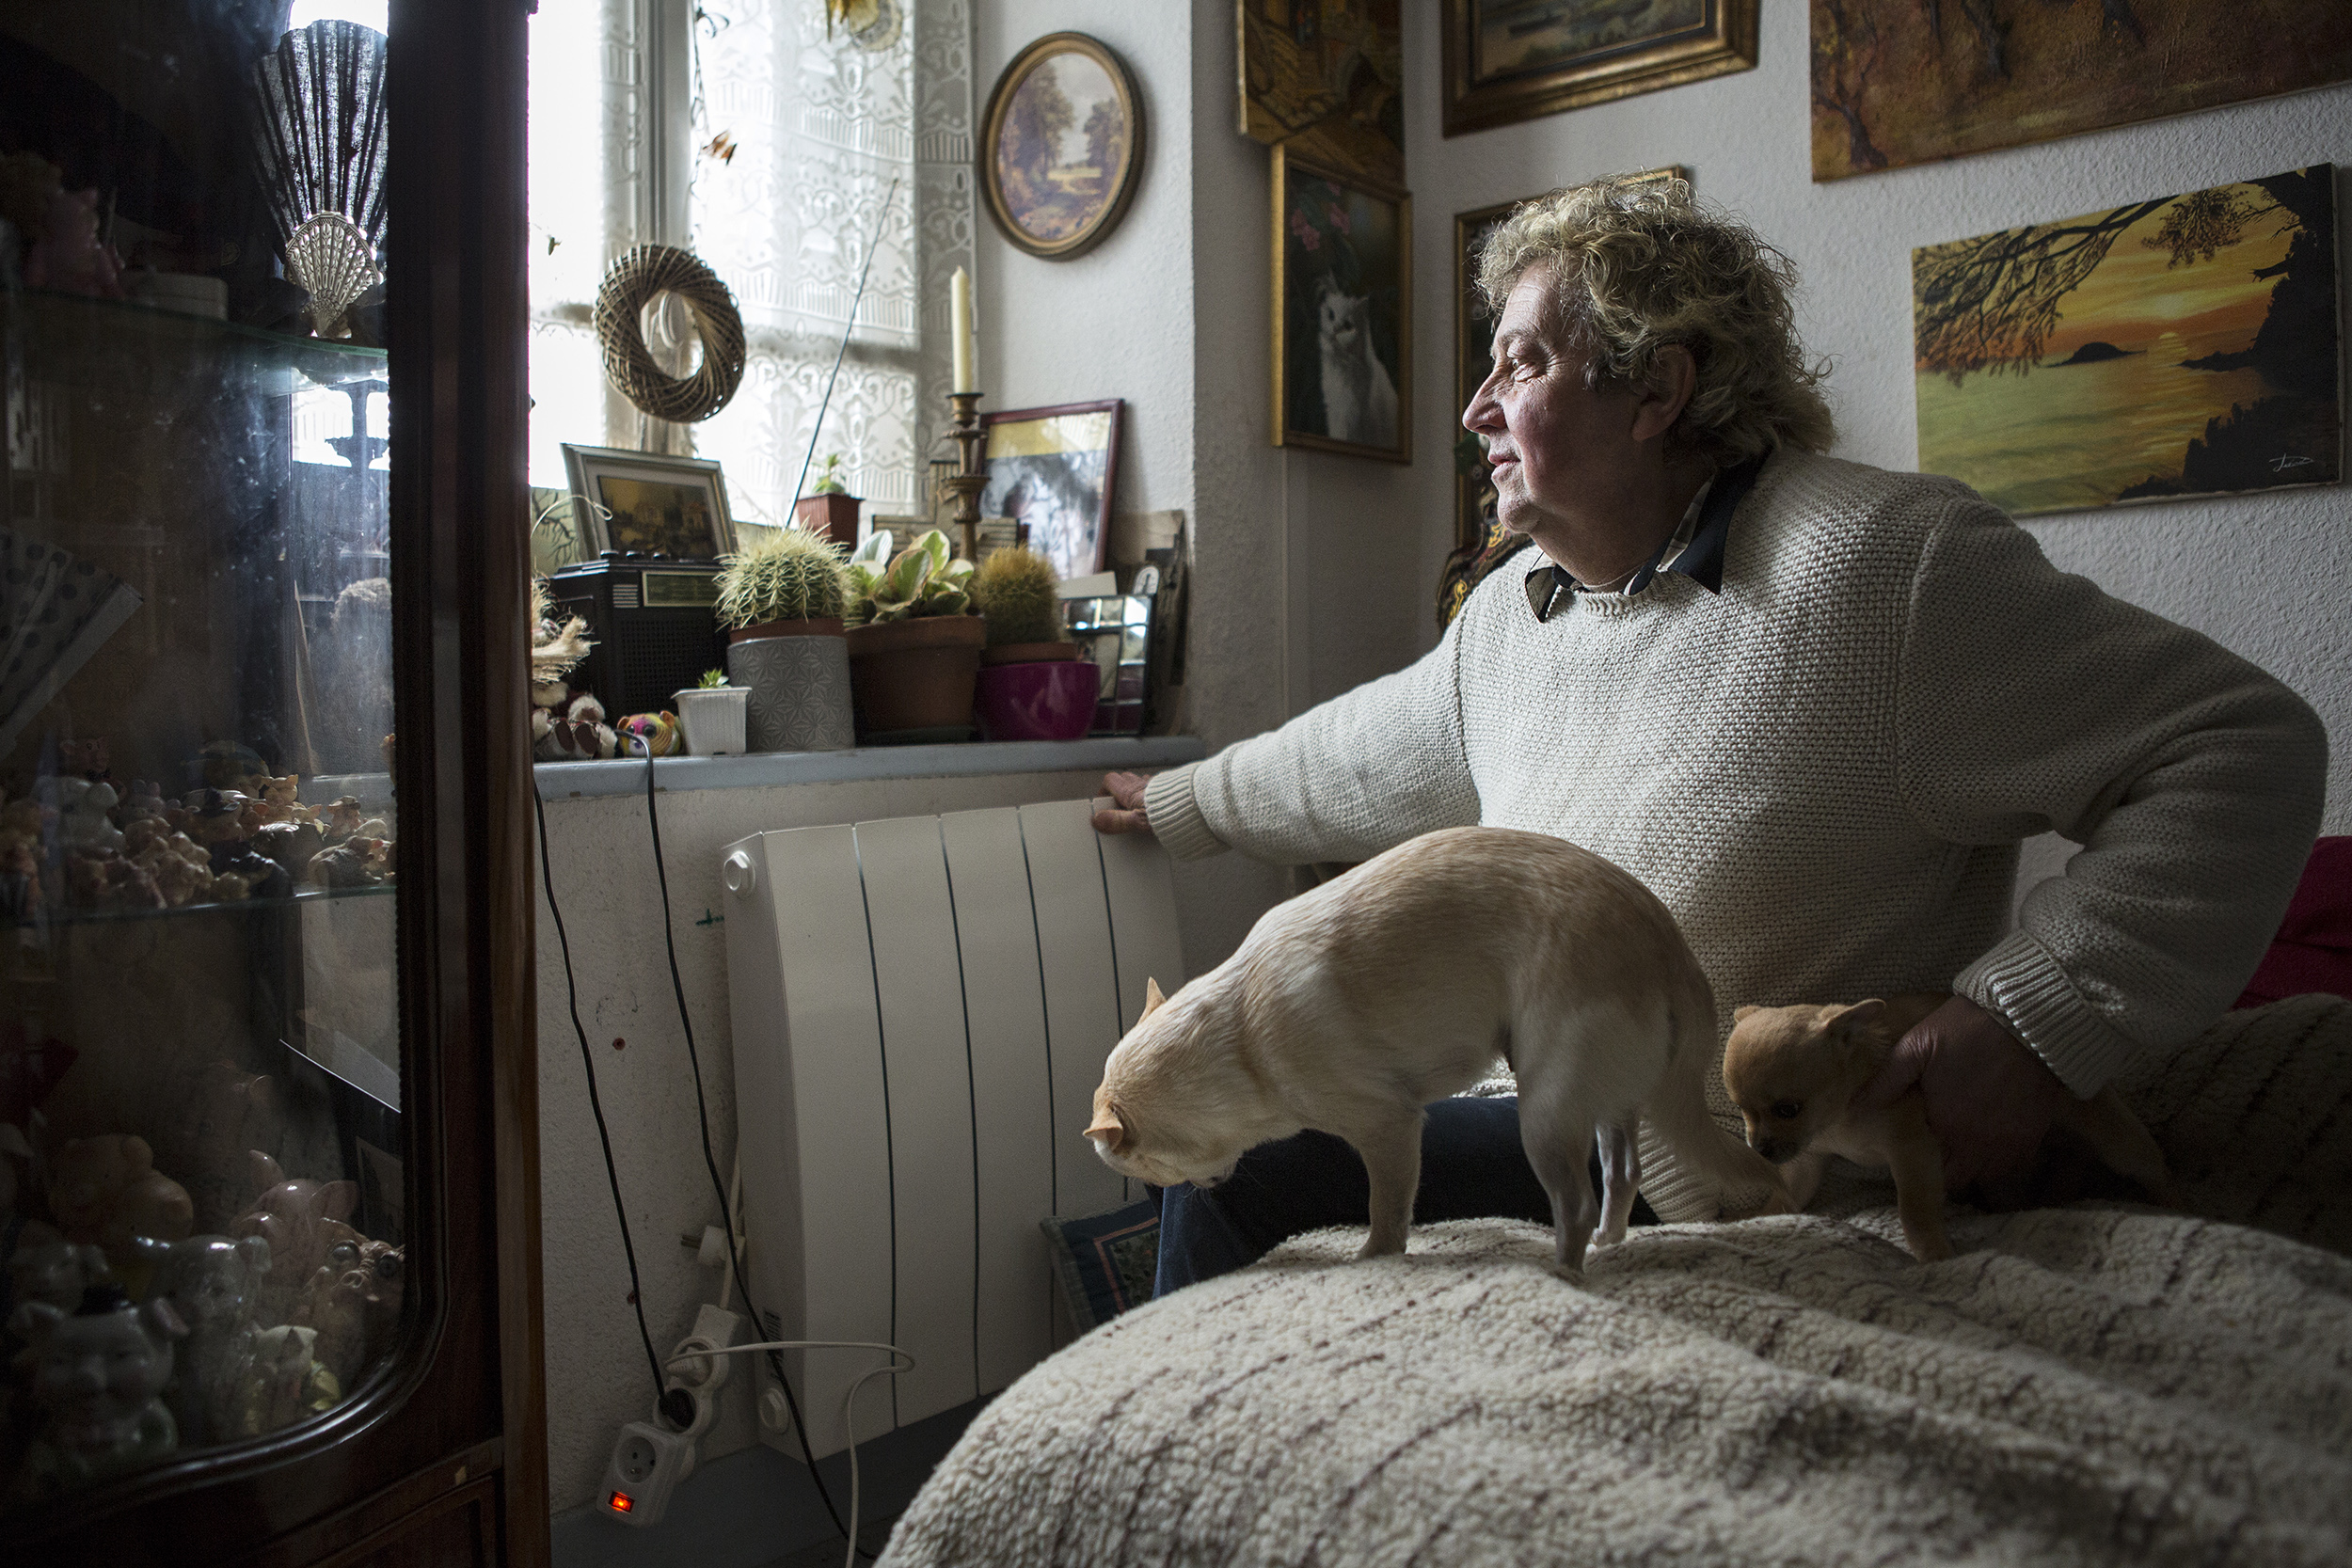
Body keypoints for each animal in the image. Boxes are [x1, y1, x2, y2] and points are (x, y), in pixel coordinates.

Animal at [1077, 822, 1778, 1278]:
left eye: (1150, 1173)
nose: (1200, 1187)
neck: (1238, 1036)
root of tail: (1671, 953)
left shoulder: (1389, 1127)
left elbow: (1386, 1209)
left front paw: (1374, 1258)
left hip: (1545, 1112)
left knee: (1574, 1203)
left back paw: (1563, 1270)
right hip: (1610, 1106)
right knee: (1623, 1172)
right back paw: (1608, 1240)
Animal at [1722, 991, 2173, 1259]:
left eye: (1788, 1109)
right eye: (1741, 1109)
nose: (1759, 1148)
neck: (1838, 1117)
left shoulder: (1913, 1152)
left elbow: (1914, 1210)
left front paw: (1935, 1255)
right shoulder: (1807, 1159)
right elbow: (1787, 1196)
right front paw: (1755, 1218)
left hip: (2117, 1140)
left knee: (2152, 1169)